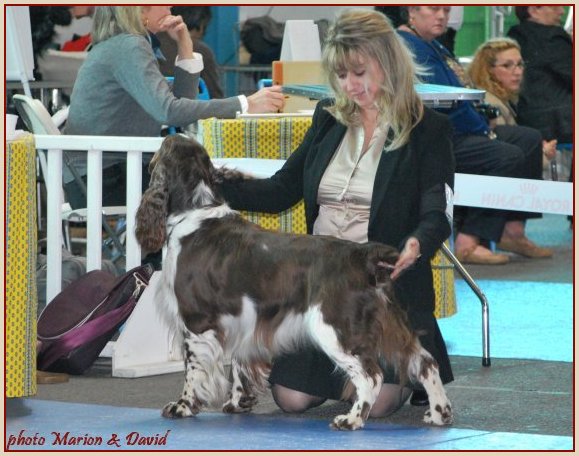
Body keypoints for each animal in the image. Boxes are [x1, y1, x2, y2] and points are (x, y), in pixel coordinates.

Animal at [135, 134, 453, 431]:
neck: (194, 214)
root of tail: (364, 256)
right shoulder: (244, 319)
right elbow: (238, 364)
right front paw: (237, 402)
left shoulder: (196, 320)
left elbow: (192, 370)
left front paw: (183, 406)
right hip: (390, 323)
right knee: (426, 361)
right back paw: (439, 413)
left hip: (335, 327)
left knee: (371, 375)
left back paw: (351, 419)